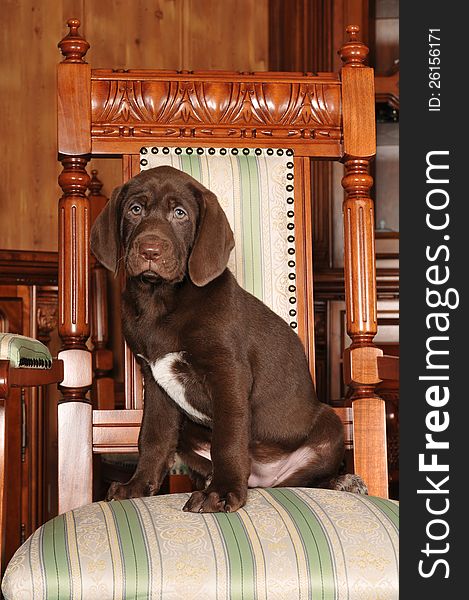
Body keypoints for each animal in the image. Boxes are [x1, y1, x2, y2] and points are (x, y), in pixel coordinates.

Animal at [90, 166, 362, 512]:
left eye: (180, 213)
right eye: (135, 209)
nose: (150, 250)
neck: (159, 301)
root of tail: (263, 479)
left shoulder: (228, 373)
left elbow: (228, 437)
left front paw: (221, 492)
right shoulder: (154, 381)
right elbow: (152, 436)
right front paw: (138, 485)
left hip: (330, 424)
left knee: (306, 477)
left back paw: (343, 482)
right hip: (189, 432)